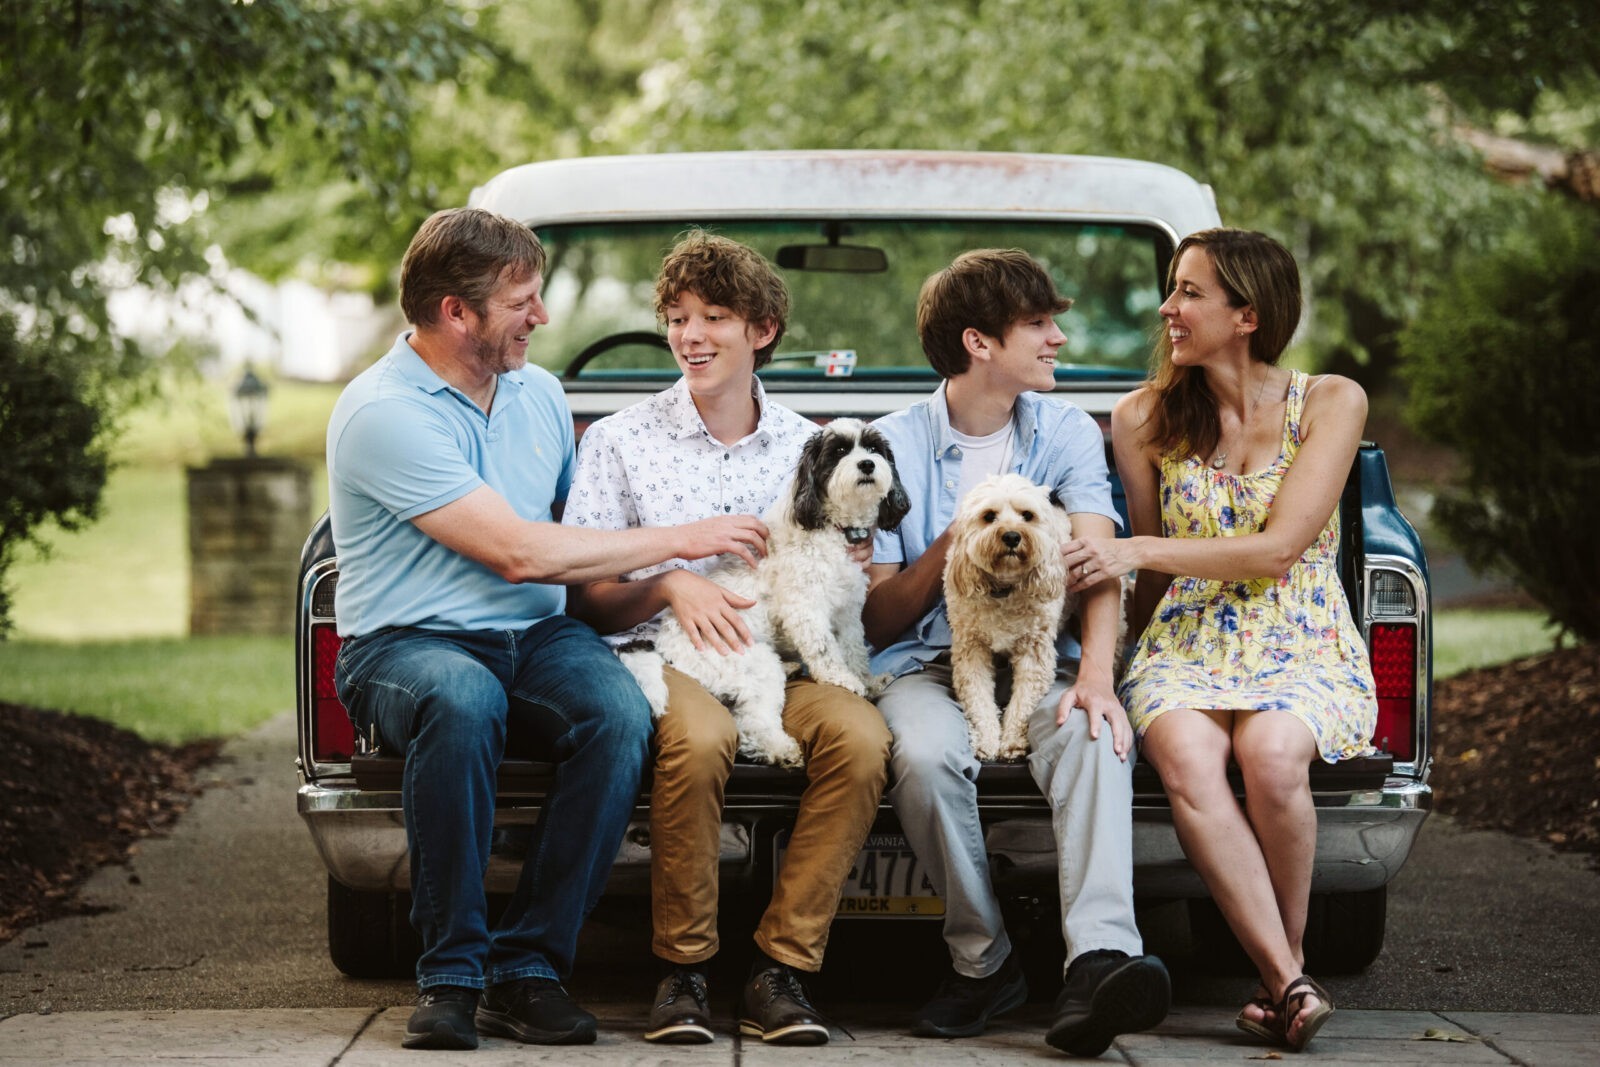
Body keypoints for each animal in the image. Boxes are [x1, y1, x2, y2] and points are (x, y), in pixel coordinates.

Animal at [617, 419, 908, 767]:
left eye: (874, 449)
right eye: (839, 451)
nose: (866, 464)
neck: (831, 527)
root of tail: (665, 649)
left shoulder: (848, 609)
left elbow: (854, 649)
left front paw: (865, 680)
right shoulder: (805, 607)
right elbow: (825, 650)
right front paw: (843, 679)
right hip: (754, 664)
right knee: (752, 726)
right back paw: (781, 749)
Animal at [947, 473, 1075, 758]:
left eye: (1027, 515)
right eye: (989, 516)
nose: (1012, 536)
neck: (1004, 589)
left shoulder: (1034, 652)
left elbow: (1025, 700)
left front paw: (1013, 739)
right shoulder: (971, 648)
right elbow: (978, 697)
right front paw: (987, 739)